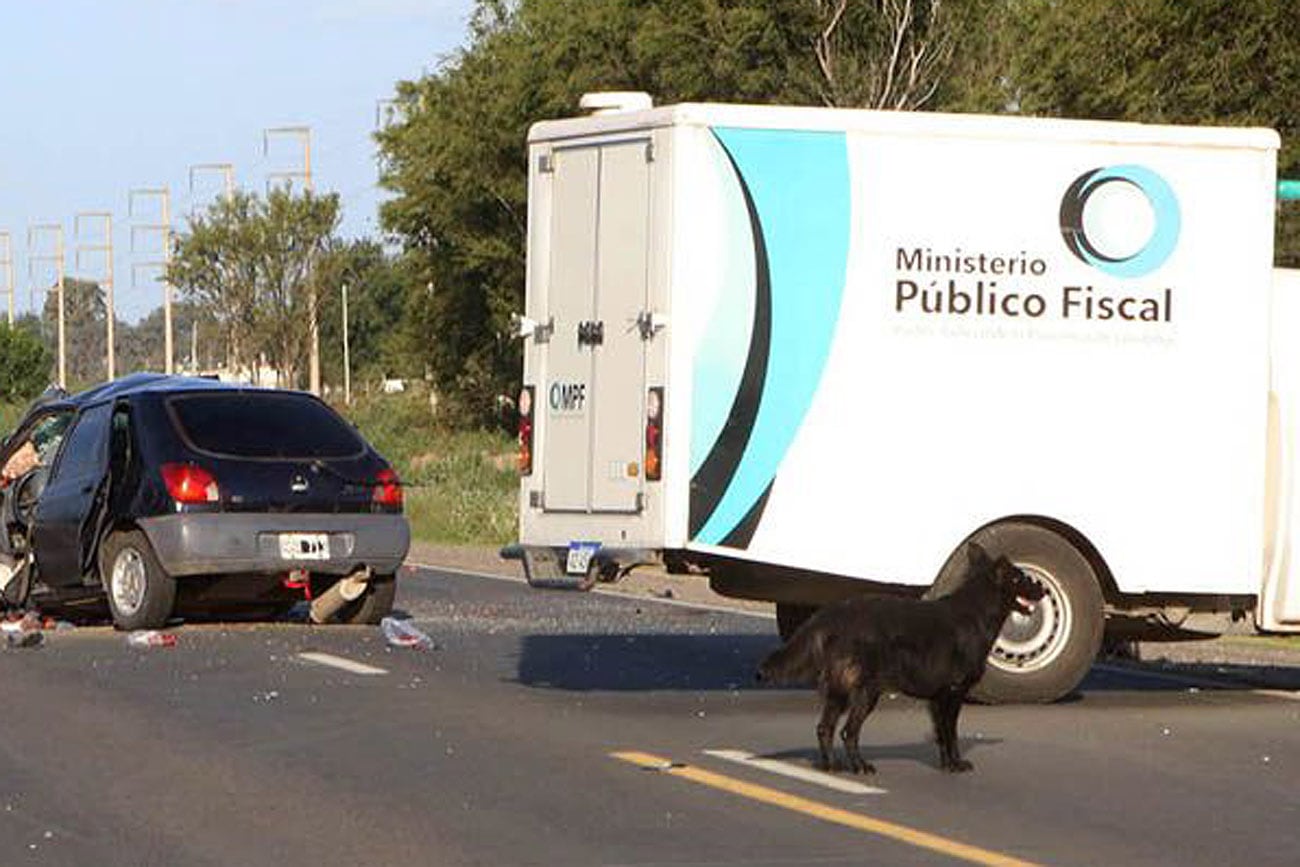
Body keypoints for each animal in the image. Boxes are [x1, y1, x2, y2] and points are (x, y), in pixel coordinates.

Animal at [754, 545, 1045, 774]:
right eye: (1022, 578)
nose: (1042, 588)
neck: (977, 612)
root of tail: (834, 614)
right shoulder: (953, 693)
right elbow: (950, 733)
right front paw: (956, 764)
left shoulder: (937, 698)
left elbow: (941, 735)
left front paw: (946, 765)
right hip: (866, 692)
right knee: (848, 732)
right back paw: (860, 766)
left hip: (839, 691)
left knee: (824, 728)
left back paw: (831, 766)